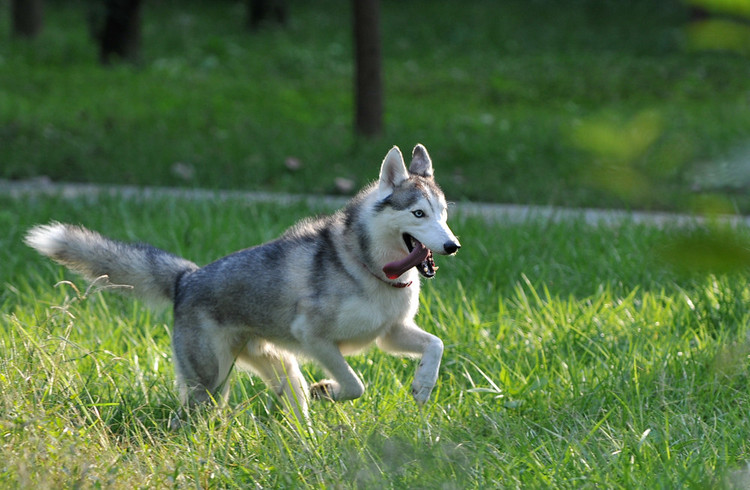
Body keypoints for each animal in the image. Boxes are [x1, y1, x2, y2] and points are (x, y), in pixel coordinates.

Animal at [26, 145, 462, 422]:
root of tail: (187, 278)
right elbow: (355, 385)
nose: (452, 245)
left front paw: (423, 386)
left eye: (443, 213)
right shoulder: (316, 338)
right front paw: (329, 389)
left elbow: (436, 345)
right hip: (210, 383)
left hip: (280, 369)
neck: (369, 267)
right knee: (188, 416)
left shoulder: (390, 333)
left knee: (295, 409)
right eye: (418, 213)